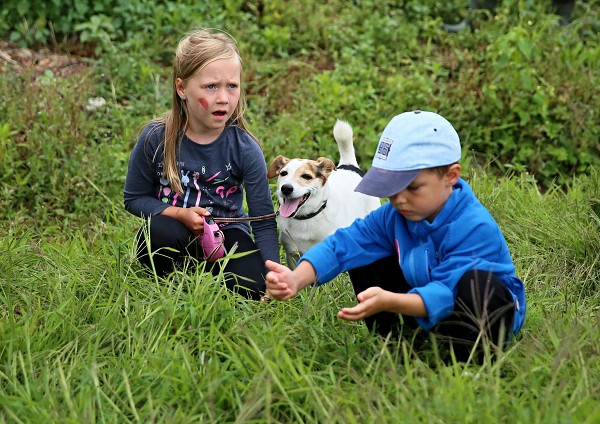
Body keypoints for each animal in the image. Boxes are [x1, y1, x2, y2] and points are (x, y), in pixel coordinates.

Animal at [268, 118, 380, 268]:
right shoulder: (292, 255)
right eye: (283, 173)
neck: (306, 218)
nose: (286, 188)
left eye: (306, 176)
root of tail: (350, 166)